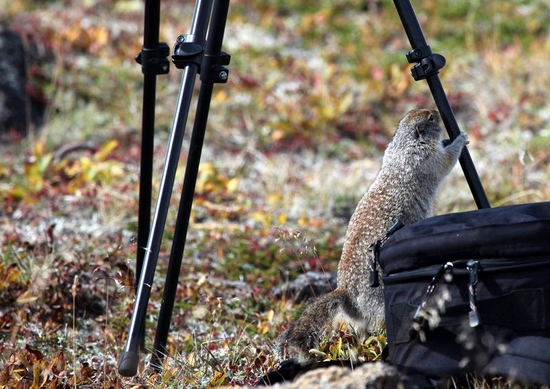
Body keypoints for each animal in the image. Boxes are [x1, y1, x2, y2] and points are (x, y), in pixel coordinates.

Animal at [278, 107, 472, 360]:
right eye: (430, 118)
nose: (436, 111)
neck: (404, 142)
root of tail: (345, 293)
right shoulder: (426, 157)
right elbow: (445, 160)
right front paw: (459, 139)